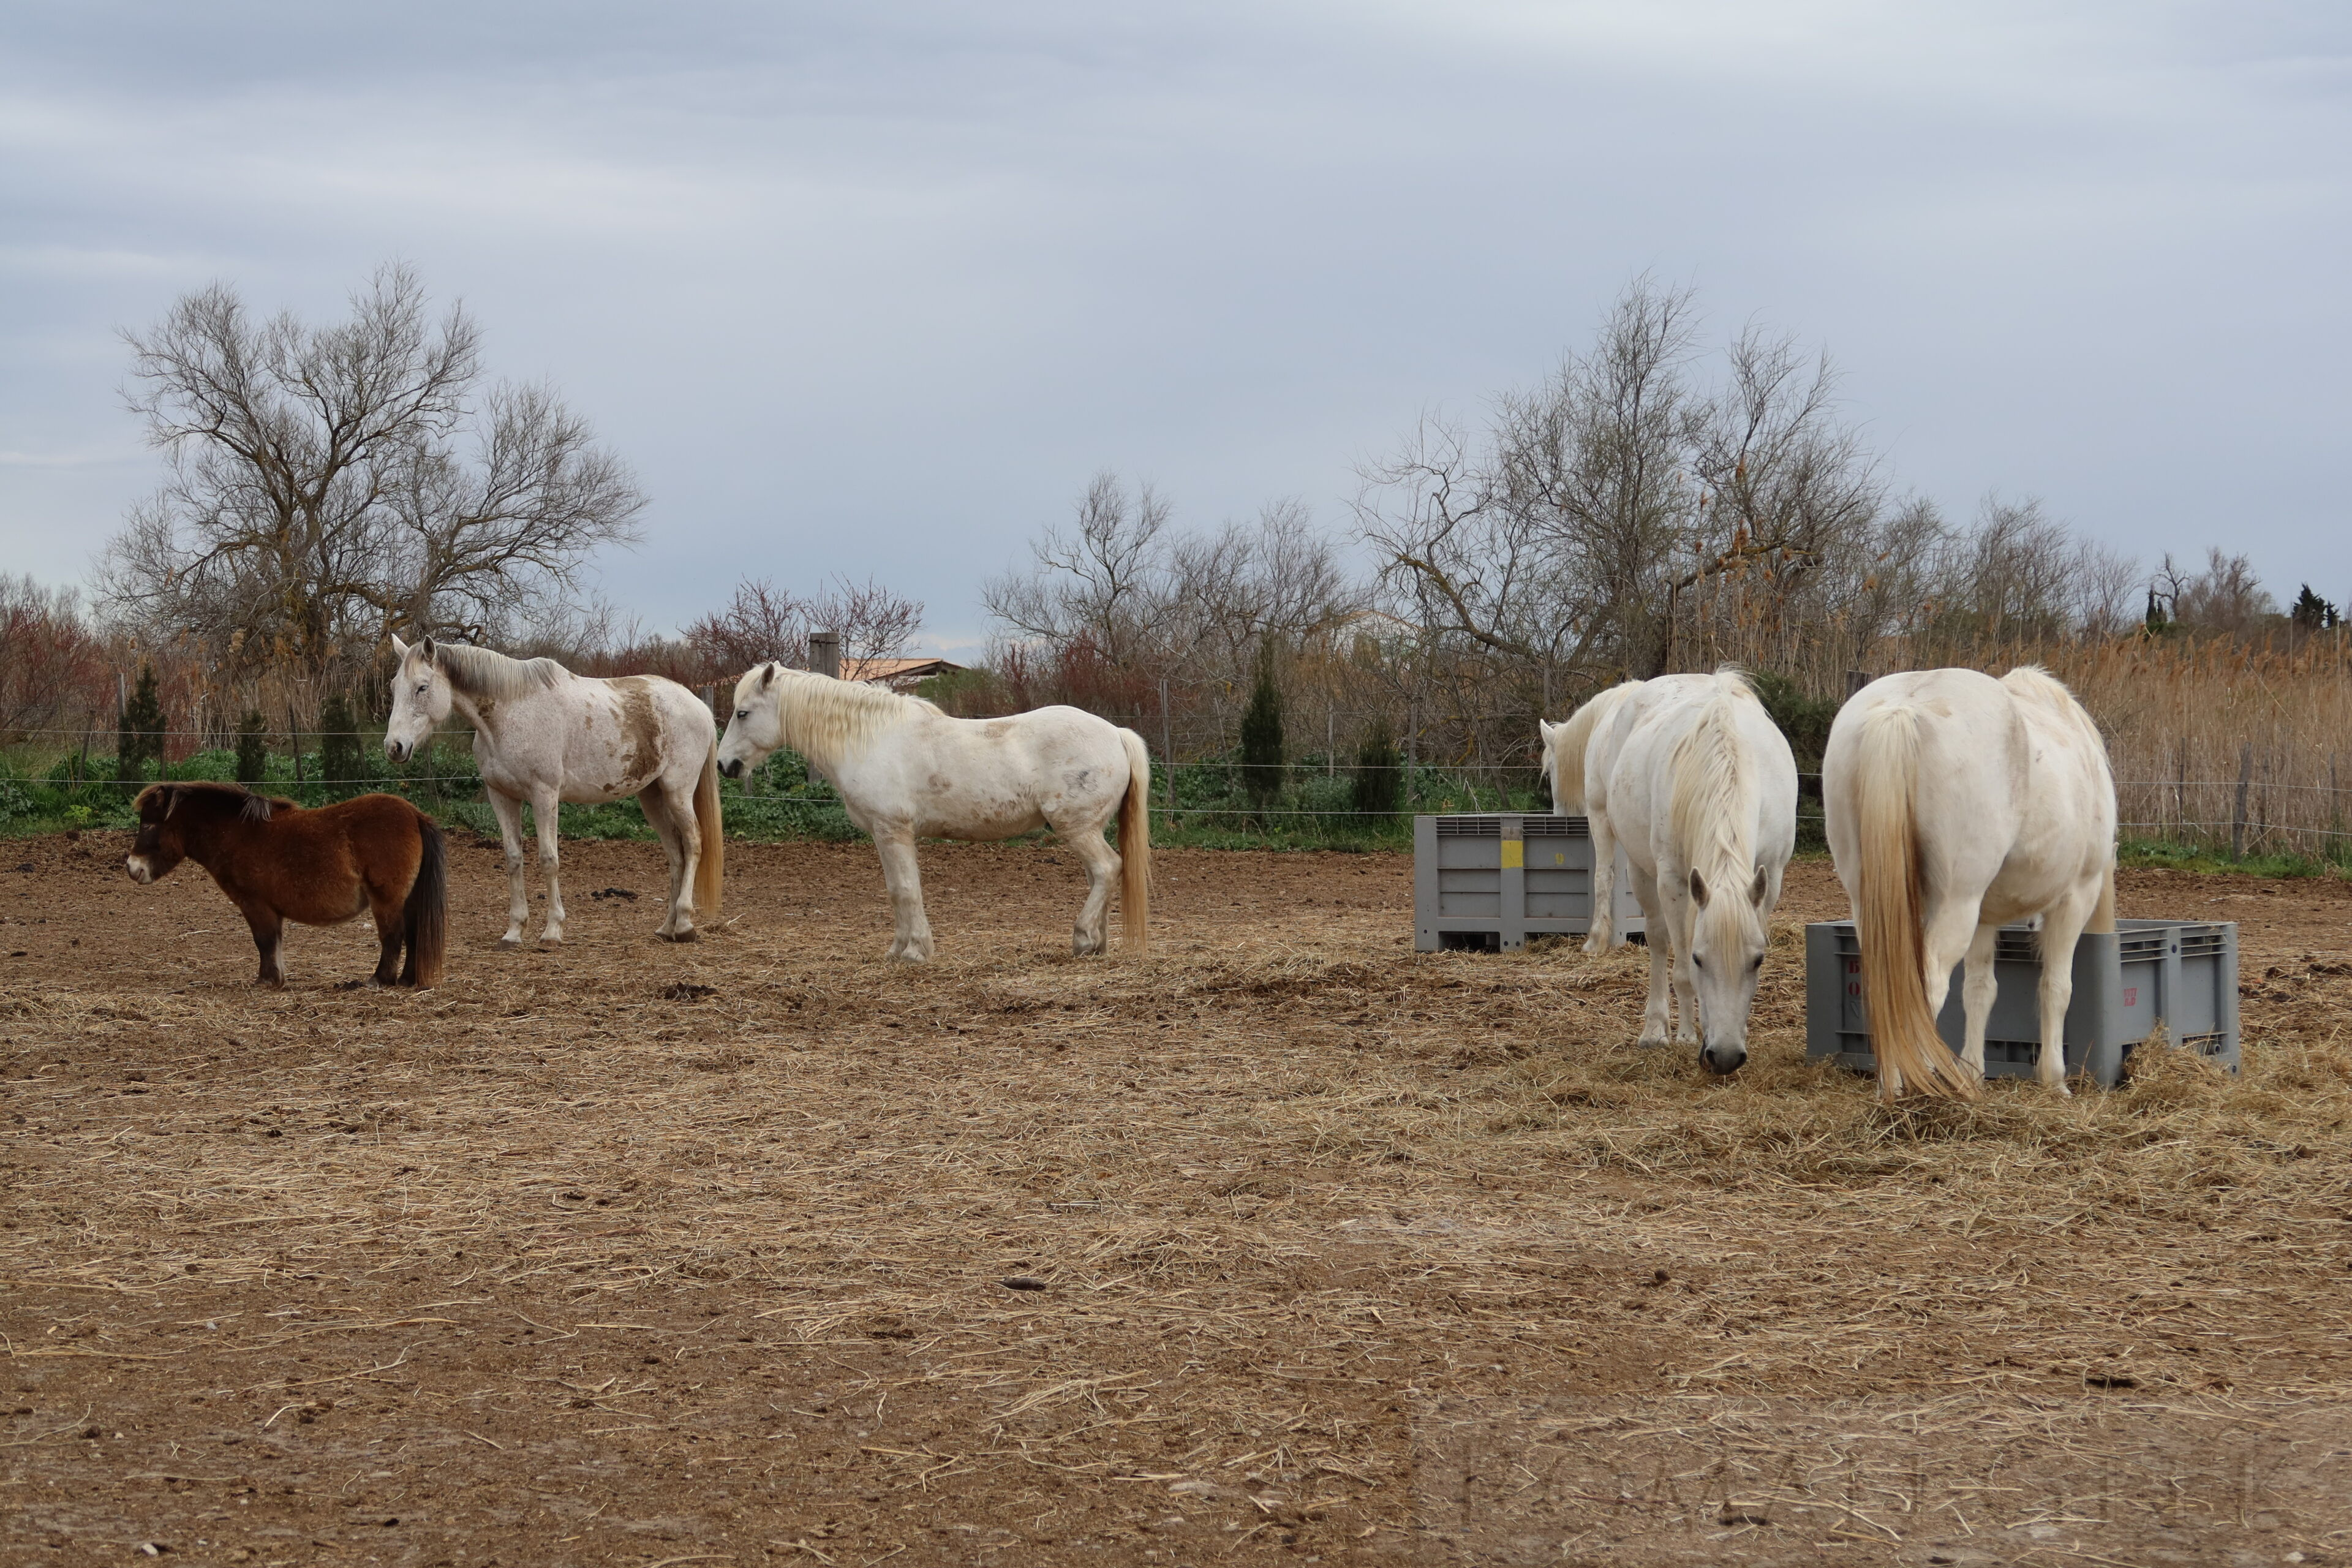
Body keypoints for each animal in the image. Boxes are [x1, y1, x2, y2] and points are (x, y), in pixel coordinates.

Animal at [124, 782, 446, 989]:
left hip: (387, 900)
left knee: (393, 937)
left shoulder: (255, 905)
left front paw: (266, 981)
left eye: (149, 826)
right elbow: (274, 943)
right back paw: (407, 981)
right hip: (408, 900)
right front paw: (276, 979)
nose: (132, 867)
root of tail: (415, 815)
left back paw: (379, 980)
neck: (239, 834)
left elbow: (264, 941)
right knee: (414, 936)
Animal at [383, 636, 723, 947]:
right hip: (652, 797)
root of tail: (698, 706)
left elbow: (549, 860)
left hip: (678, 792)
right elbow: (513, 858)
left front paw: (552, 930)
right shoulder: (502, 797)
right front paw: (514, 931)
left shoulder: (544, 795)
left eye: (422, 687)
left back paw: (684, 925)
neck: (511, 713)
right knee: (676, 854)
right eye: (394, 686)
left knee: (693, 843)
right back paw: (667, 927)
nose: (394, 747)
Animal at [715, 662, 1151, 961]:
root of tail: (1116, 733)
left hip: (1077, 829)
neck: (873, 739)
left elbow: (907, 890)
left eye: (743, 713)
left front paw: (915, 952)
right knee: (1101, 876)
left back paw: (1083, 938)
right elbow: (896, 891)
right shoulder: (884, 835)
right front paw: (898, 950)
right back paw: (1098, 944)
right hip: (1087, 829)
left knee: (1108, 868)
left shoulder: (893, 830)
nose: (724, 765)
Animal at [1822, 666, 2117, 1100]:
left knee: (1889, 987)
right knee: (1925, 987)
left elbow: (1980, 989)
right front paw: (2055, 1080)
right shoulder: (2075, 897)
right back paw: (1922, 1084)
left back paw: (1891, 1088)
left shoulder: (1985, 917)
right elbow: (2056, 988)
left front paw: (1974, 1073)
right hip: (1956, 904)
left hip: (1871, 903)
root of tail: (1901, 709)